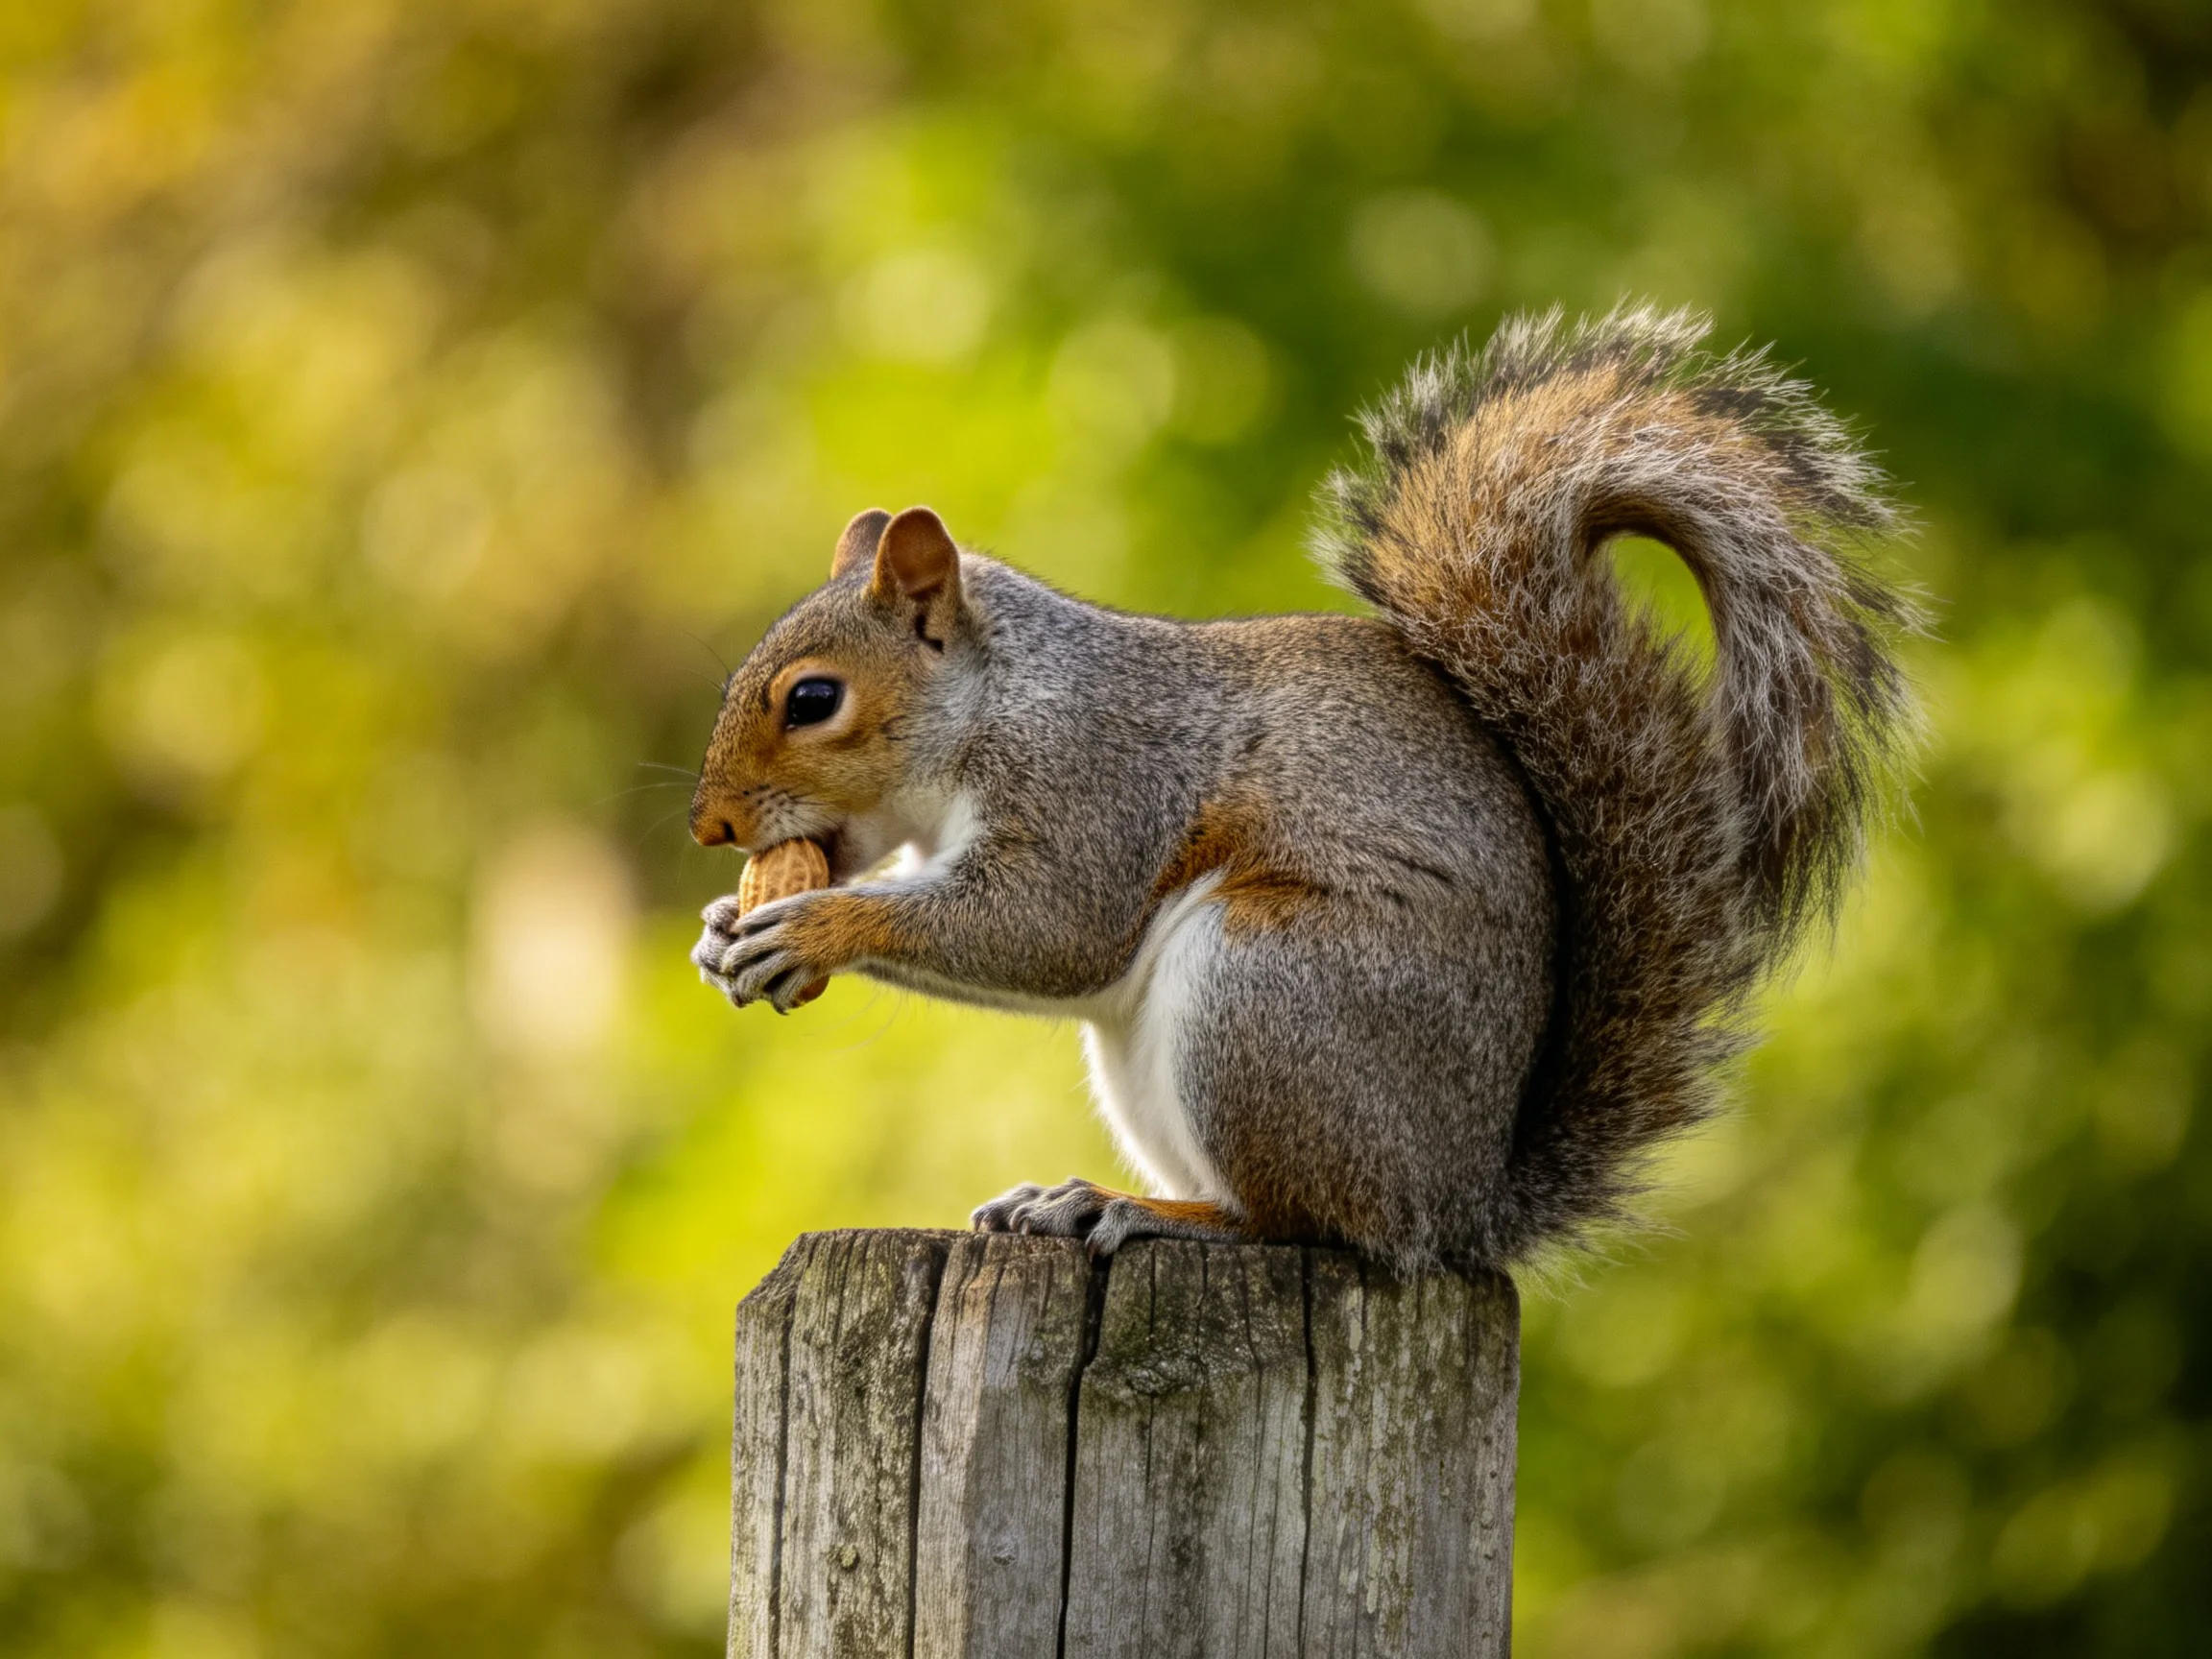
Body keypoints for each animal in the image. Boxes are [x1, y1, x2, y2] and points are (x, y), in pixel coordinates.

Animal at [687, 305, 1921, 1270]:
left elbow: (1049, 929)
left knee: (1307, 1222)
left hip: (1273, 990)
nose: (710, 826)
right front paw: (719, 931)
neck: (995, 705)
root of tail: (1457, 1203)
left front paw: (814, 928)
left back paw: (1148, 1212)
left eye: (812, 699)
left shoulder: (1098, 778)